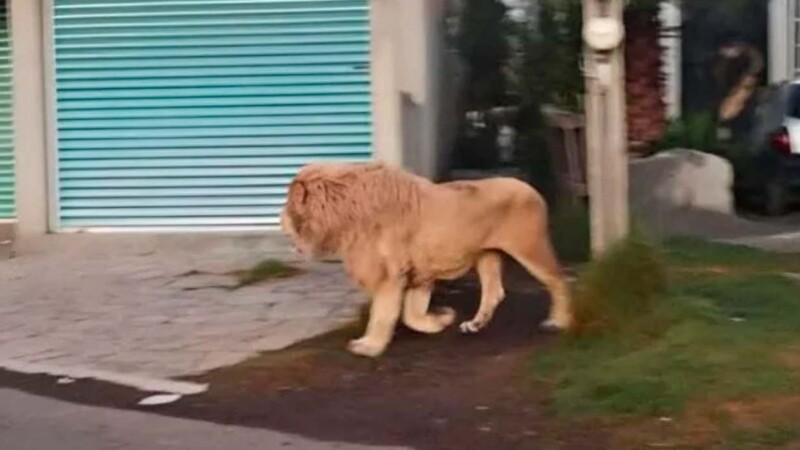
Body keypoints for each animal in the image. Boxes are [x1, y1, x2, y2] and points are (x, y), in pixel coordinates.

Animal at [280, 162, 573, 358]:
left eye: (287, 202)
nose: (279, 221)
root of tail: (532, 189)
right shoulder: (419, 273)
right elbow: (412, 315)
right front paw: (442, 320)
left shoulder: (390, 274)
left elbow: (382, 314)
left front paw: (369, 346)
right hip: (486, 255)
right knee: (494, 292)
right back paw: (474, 324)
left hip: (530, 248)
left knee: (558, 280)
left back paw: (558, 322)